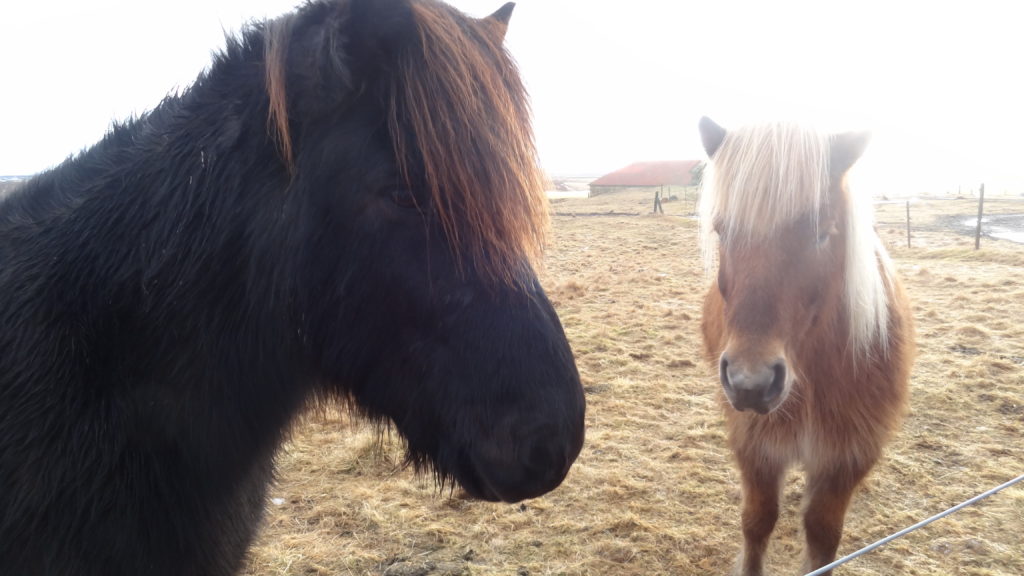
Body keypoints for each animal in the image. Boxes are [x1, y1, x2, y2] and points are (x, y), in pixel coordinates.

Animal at [696, 116, 913, 573]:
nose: (750, 384)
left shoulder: (846, 458)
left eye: (821, 234)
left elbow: (822, 534)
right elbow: (757, 522)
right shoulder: (755, 447)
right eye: (721, 231)